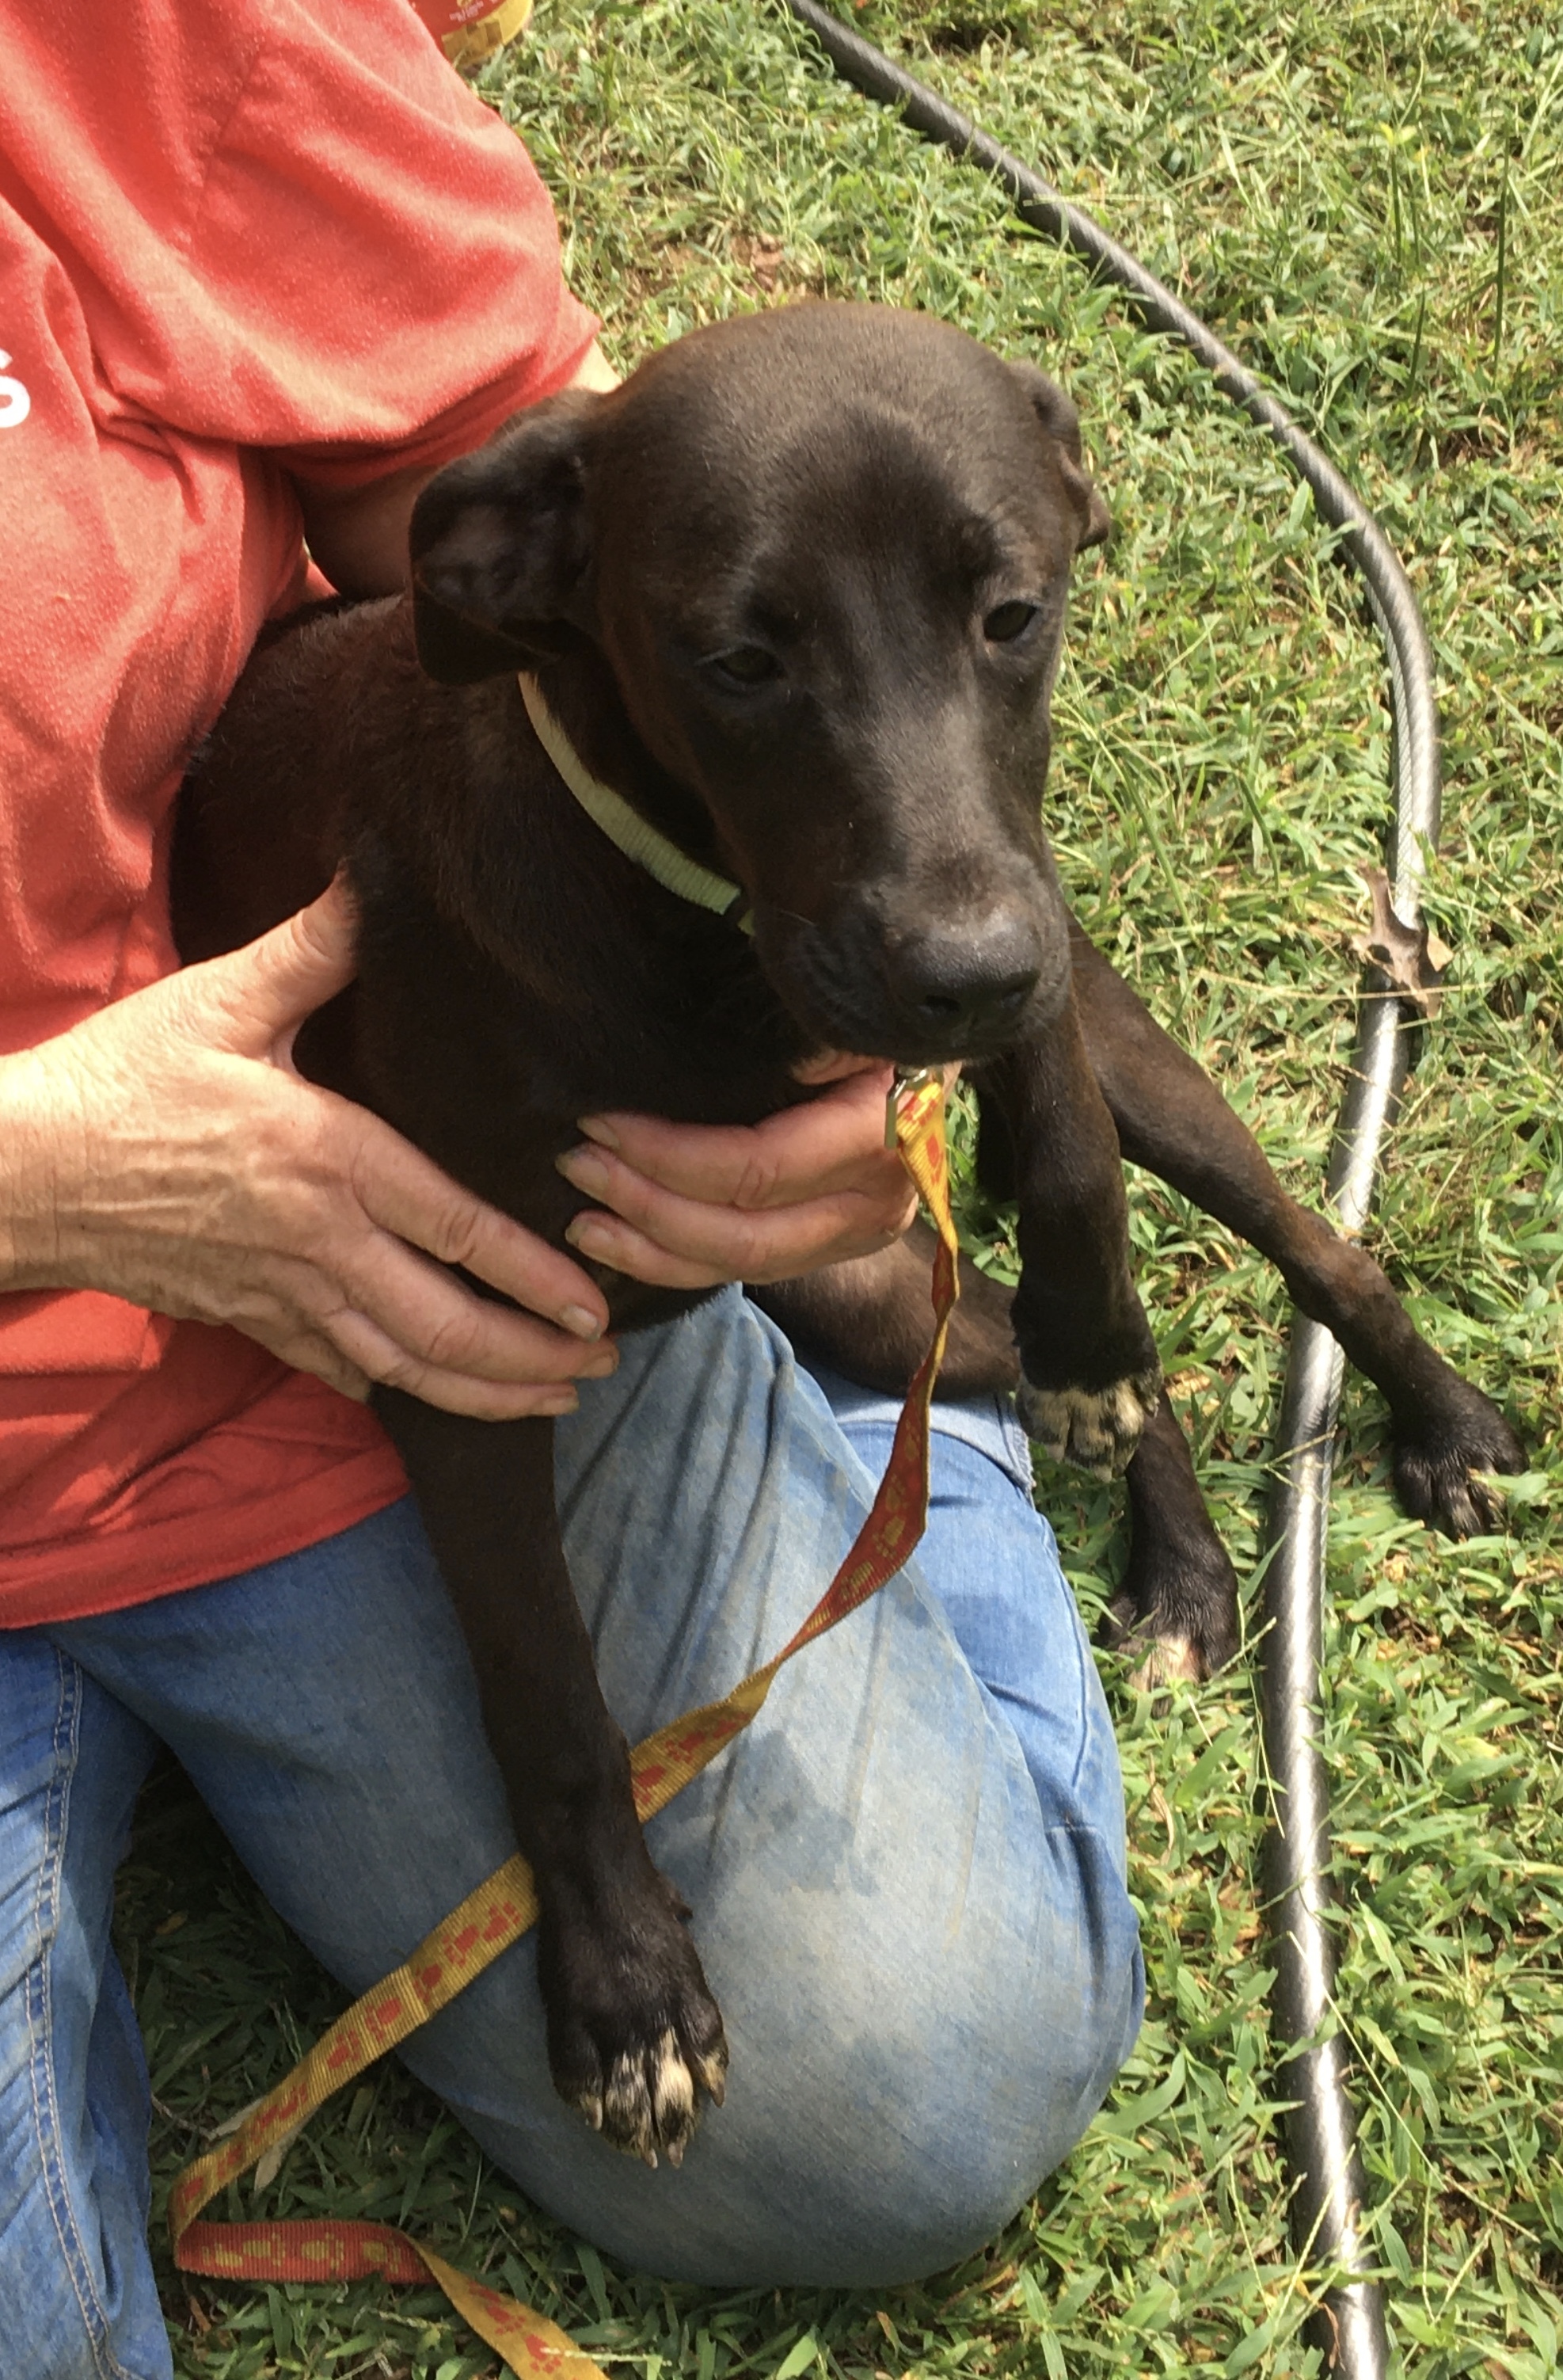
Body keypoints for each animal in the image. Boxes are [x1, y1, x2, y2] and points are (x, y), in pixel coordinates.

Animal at [173, 297, 1522, 2180]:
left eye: (1013, 613)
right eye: (738, 658)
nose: (962, 971)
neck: (702, 944)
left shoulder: (1025, 961)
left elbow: (1069, 1154)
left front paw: (1102, 1312)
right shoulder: (450, 1344)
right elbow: (549, 1688)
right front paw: (628, 1993)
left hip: (1111, 1071)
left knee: (1300, 1251)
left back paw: (1415, 1431)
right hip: (873, 1301)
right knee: (1028, 1344)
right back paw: (1182, 1555)